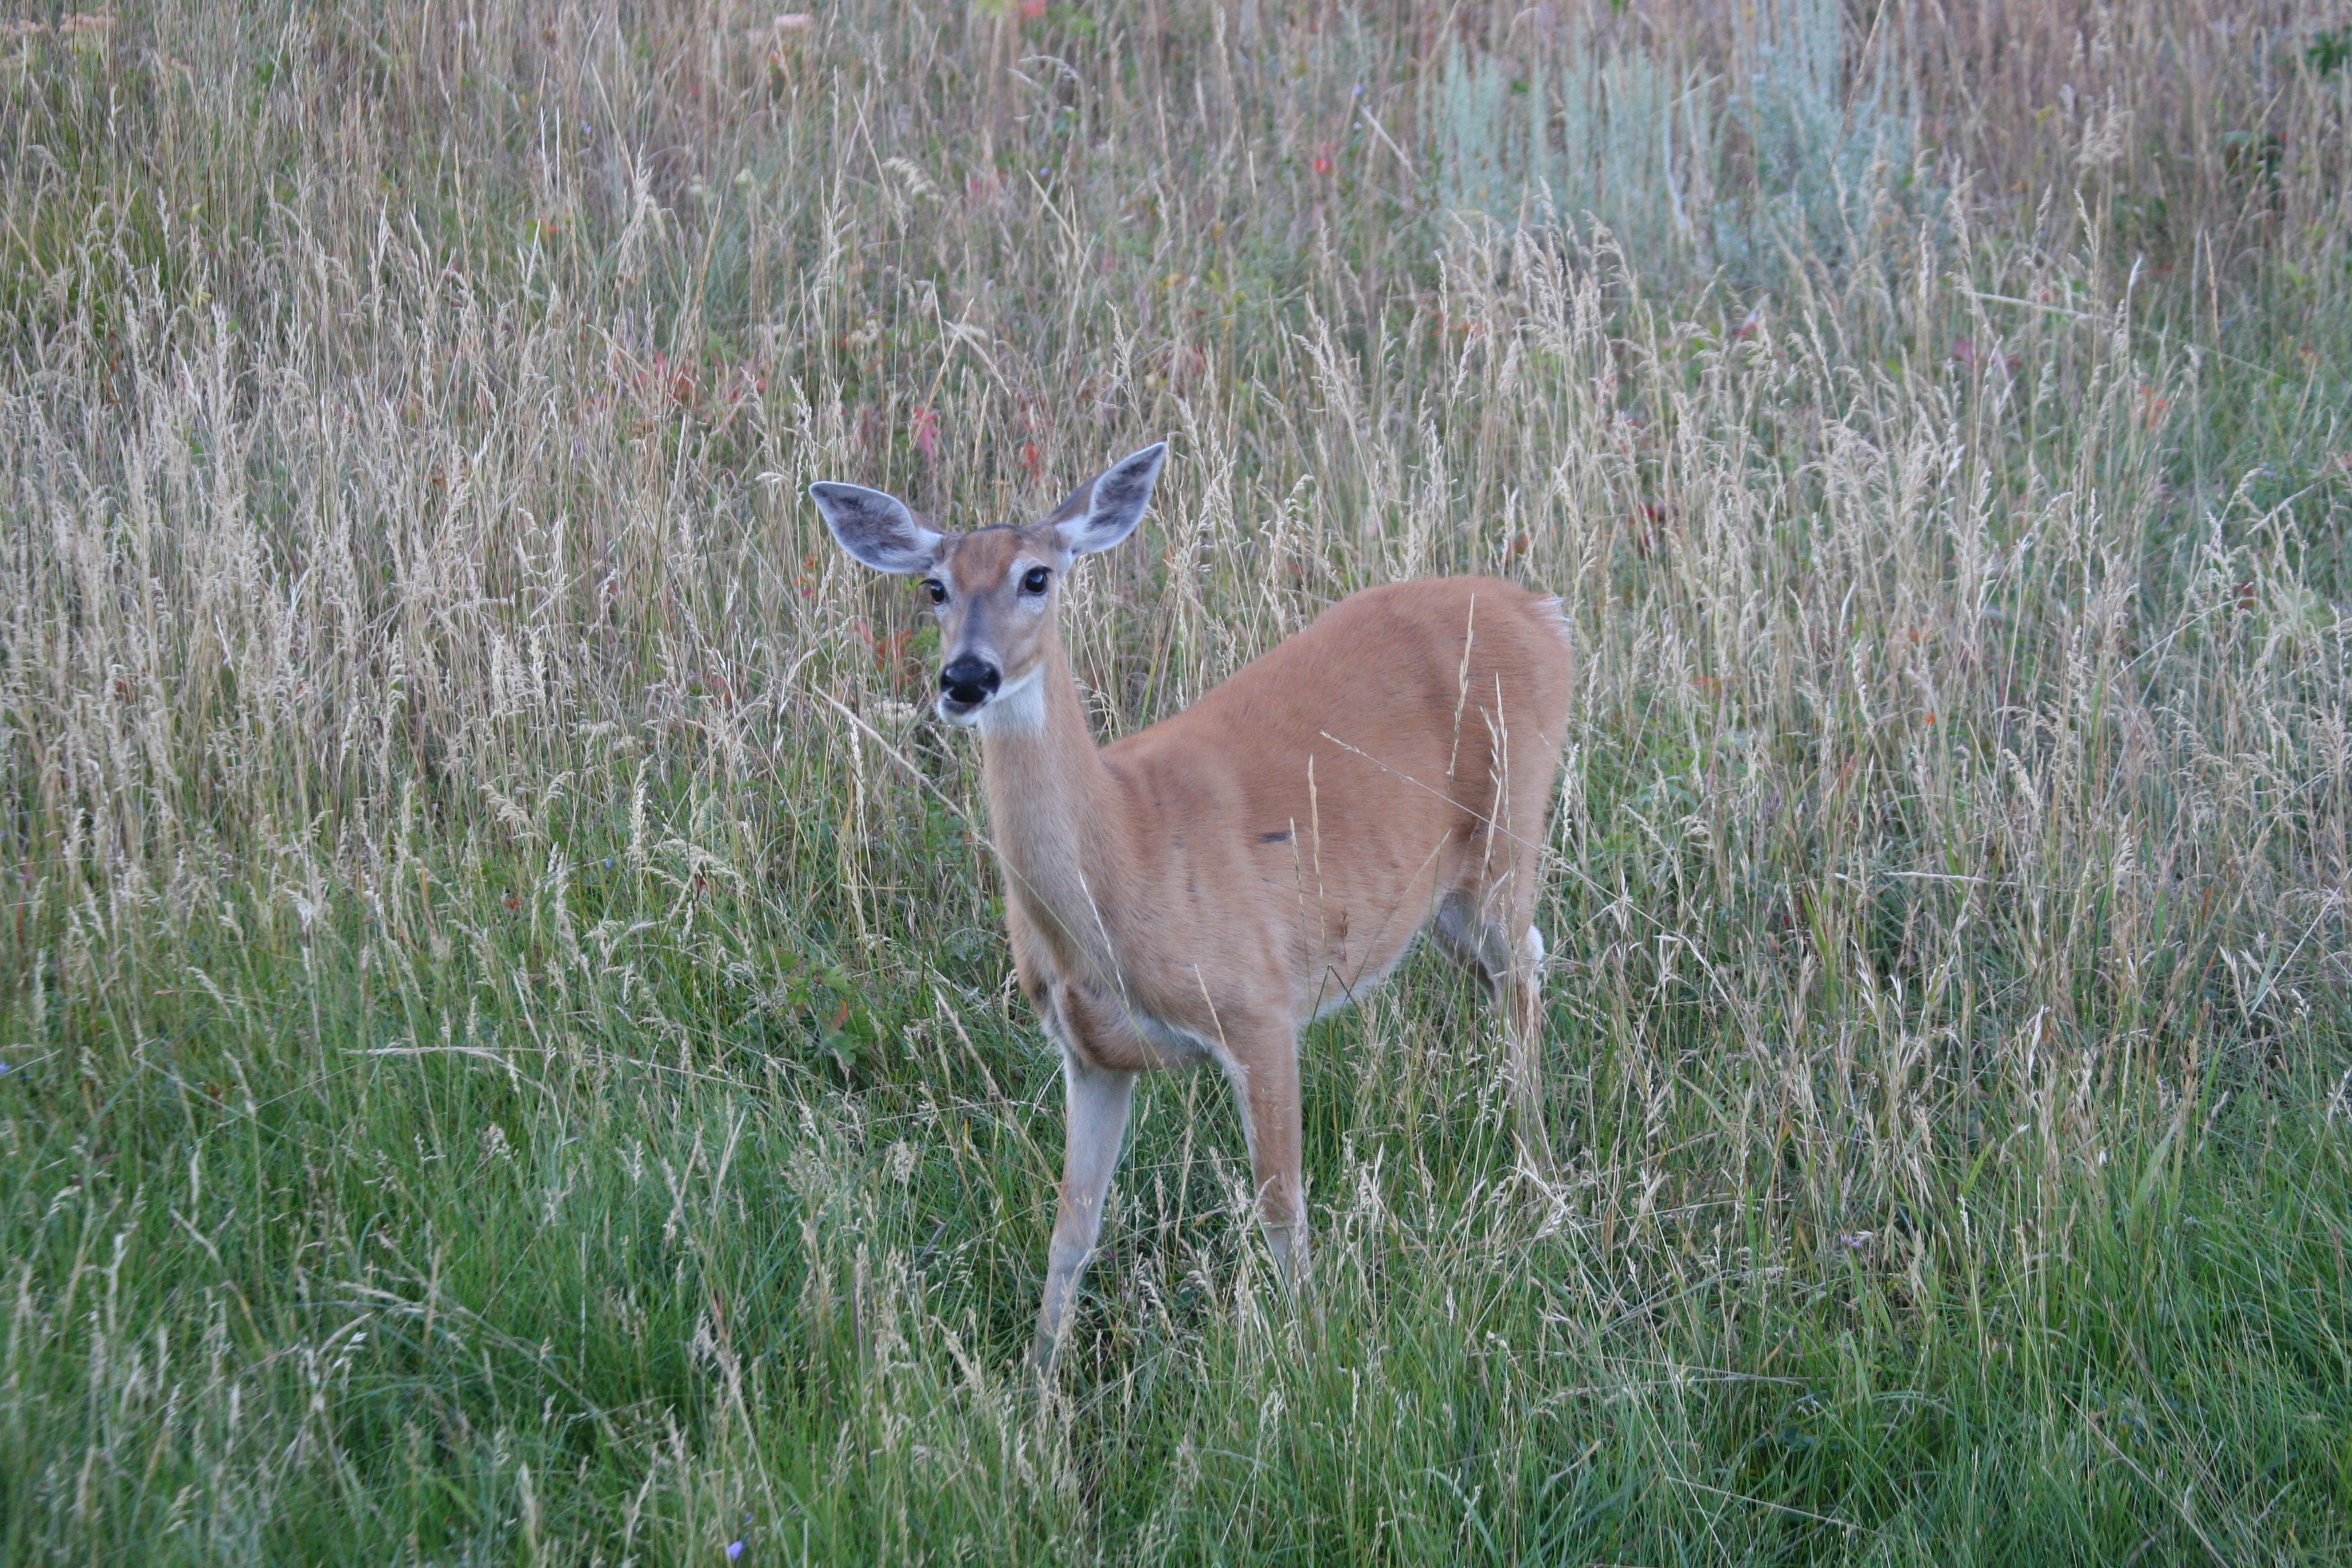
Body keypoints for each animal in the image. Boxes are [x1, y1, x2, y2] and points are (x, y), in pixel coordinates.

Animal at [818, 446, 1571, 1363]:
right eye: (934, 585)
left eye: (1037, 576)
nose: (966, 676)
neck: (1124, 862)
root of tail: (1543, 610)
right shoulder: (1089, 1052)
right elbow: (1072, 1229)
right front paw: (1038, 1378)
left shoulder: (1258, 1003)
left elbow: (1282, 1205)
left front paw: (1310, 1348)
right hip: (1447, 899)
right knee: (1515, 966)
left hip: (1512, 825)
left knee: (1523, 973)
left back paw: (1538, 1177)